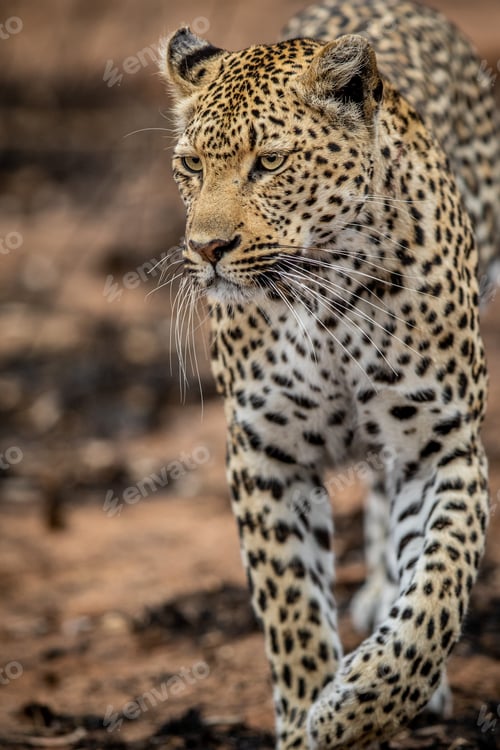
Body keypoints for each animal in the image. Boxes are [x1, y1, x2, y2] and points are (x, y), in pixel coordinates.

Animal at [160, 0, 500, 747]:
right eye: (191, 164)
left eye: (270, 162)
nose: (206, 248)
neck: (328, 300)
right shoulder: (265, 454)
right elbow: (291, 611)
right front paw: (308, 712)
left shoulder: (443, 448)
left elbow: (436, 596)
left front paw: (358, 705)